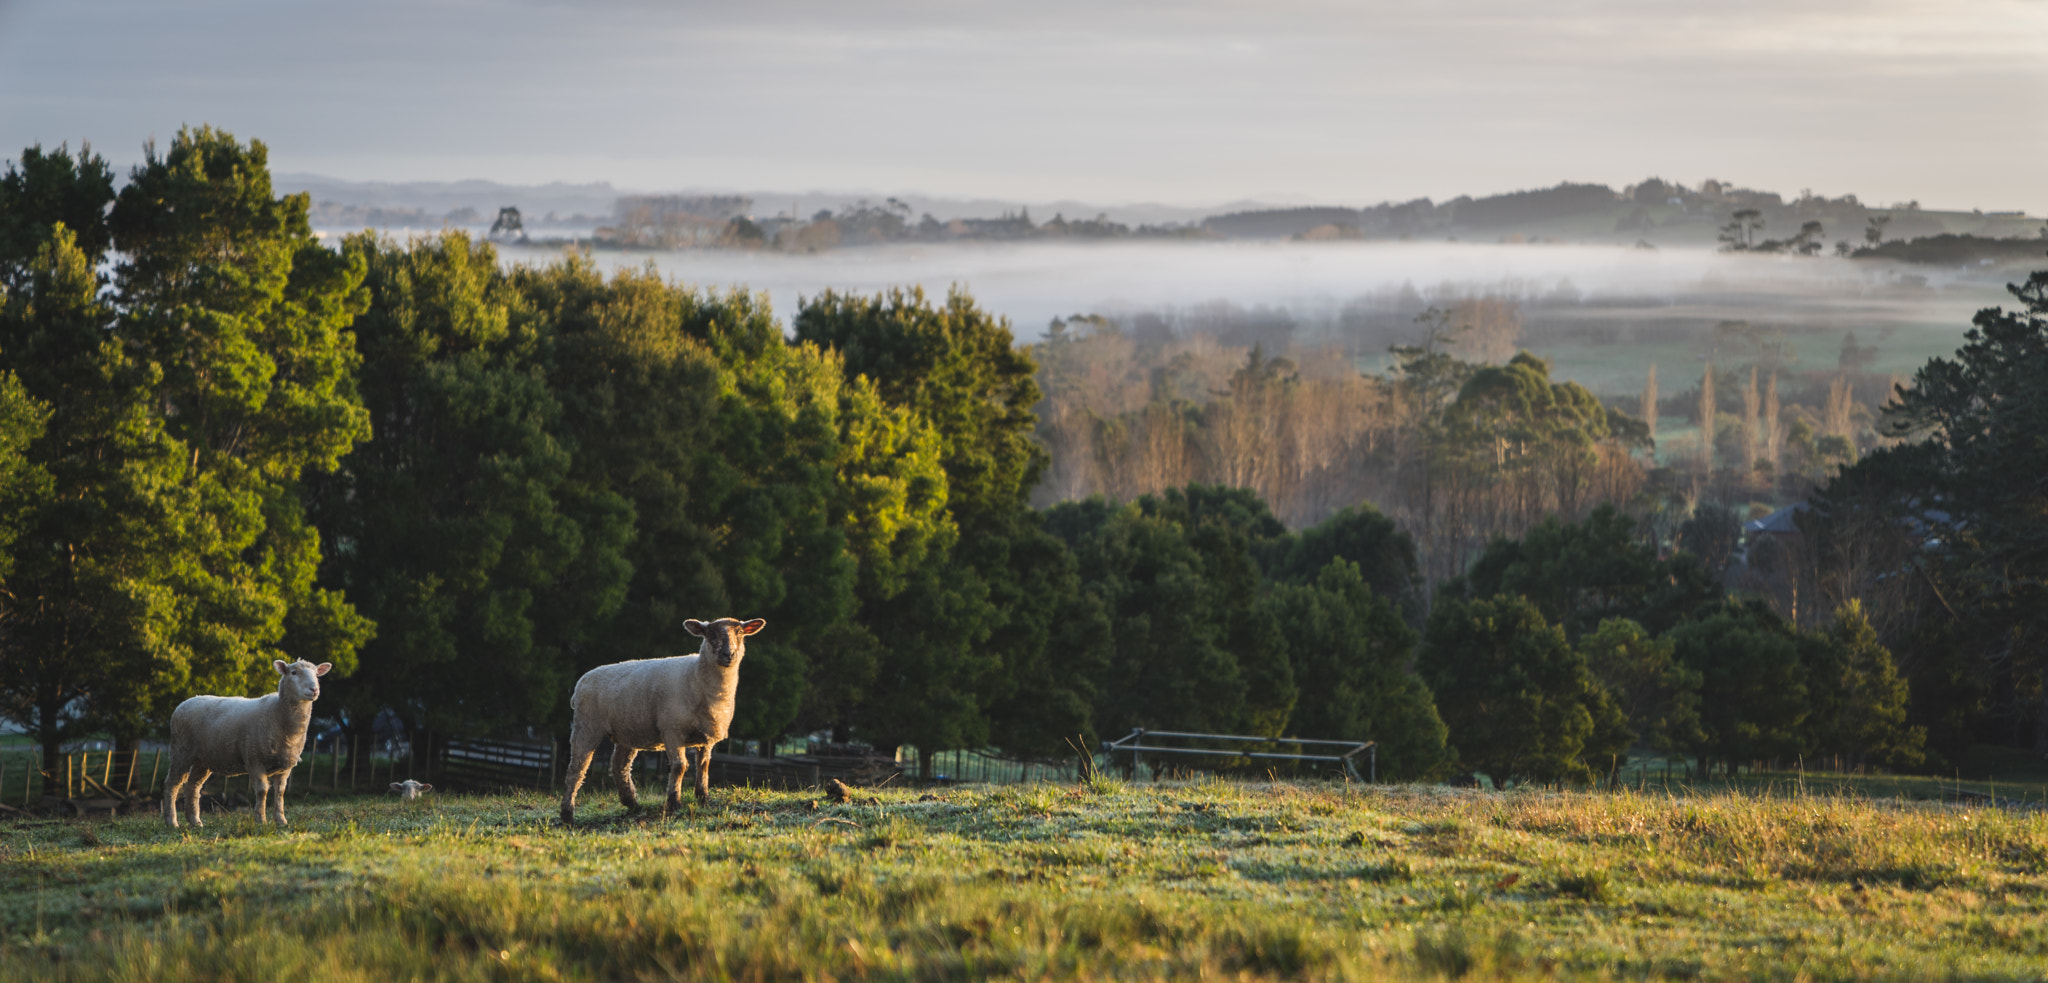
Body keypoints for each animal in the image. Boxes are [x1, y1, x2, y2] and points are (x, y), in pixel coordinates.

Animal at [159, 655, 331, 827]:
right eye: (294, 672)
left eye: (317, 674)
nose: (314, 690)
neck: (278, 714)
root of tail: (185, 702)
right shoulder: (254, 758)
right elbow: (262, 790)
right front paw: (261, 820)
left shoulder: (285, 765)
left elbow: (280, 792)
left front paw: (281, 821)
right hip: (181, 751)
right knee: (172, 784)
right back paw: (172, 821)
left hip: (203, 759)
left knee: (192, 787)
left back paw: (195, 821)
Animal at [561, 618, 770, 827]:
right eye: (710, 633)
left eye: (740, 632)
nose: (729, 654)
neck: (696, 677)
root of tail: (580, 683)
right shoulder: (672, 730)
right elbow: (679, 766)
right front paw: (674, 803)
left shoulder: (706, 736)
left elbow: (704, 765)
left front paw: (703, 798)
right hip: (587, 725)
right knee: (576, 770)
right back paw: (567, 815)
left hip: (628, 730)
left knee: (619, 766)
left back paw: (632, 803)